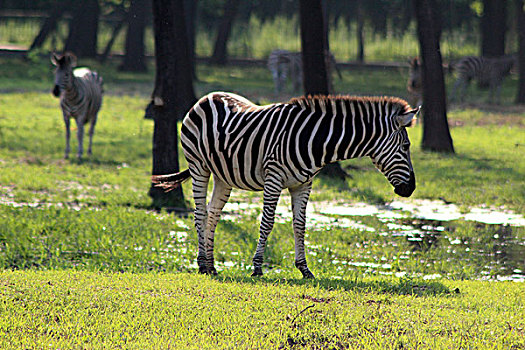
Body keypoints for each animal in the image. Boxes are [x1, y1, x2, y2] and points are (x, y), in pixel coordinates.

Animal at [152, 90, 418, 278]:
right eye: (406, 146)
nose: (411, 189)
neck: (316, 141)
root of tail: (207, 97)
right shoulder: (274, 178)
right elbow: (267, 223)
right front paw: (257, 267)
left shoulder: (303, 184)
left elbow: (300, 225)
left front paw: (304, 269)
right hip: (199, 165)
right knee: (200, 214)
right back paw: (201, 264)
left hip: (223, 175)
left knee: (214, 214)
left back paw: (211, 264)